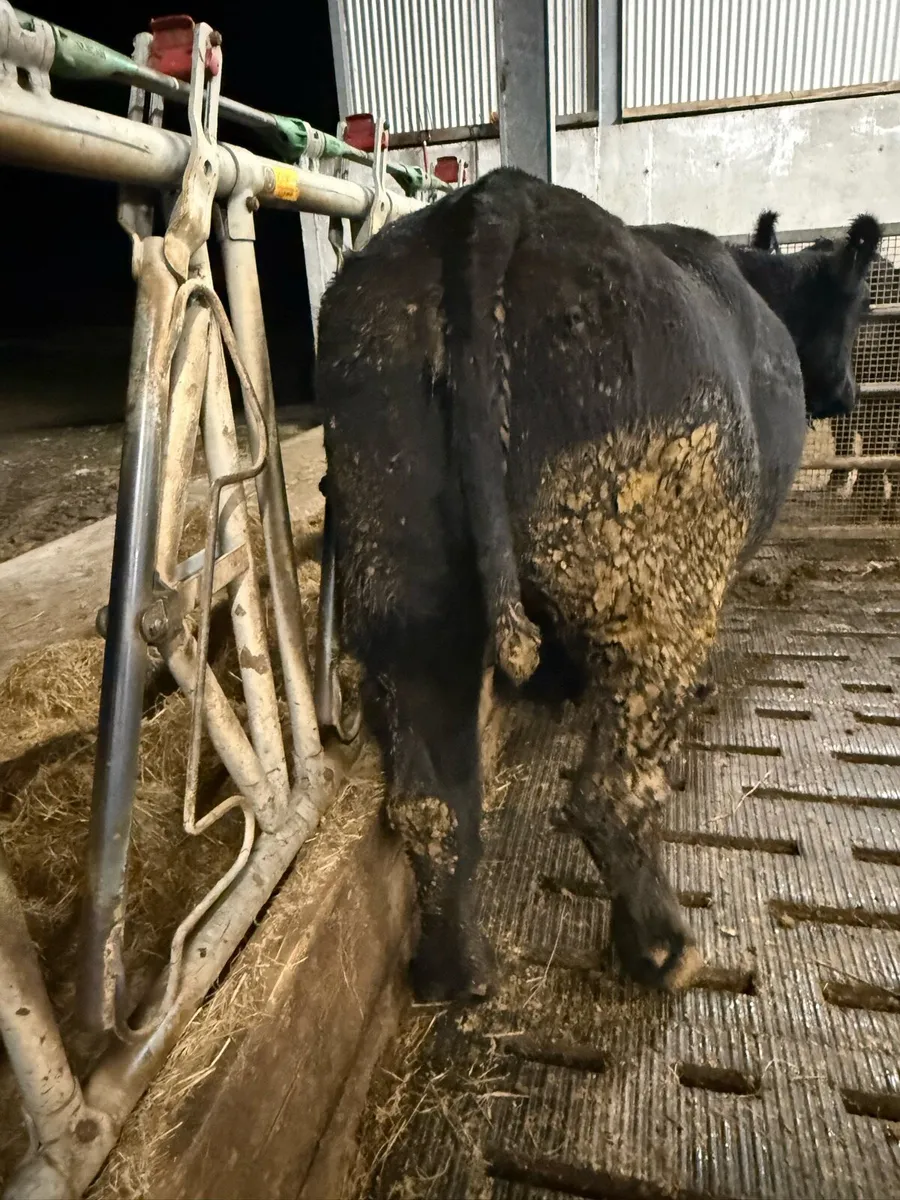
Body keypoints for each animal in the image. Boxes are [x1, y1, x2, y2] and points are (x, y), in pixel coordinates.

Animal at [316, 168, 881, 1004]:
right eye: (860, 306)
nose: (846, 393)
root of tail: (496, 196)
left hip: (402, 585)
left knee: (433, 801)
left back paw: (458, 972)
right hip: (653, 592)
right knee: (610, 793)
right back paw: (660, 947)